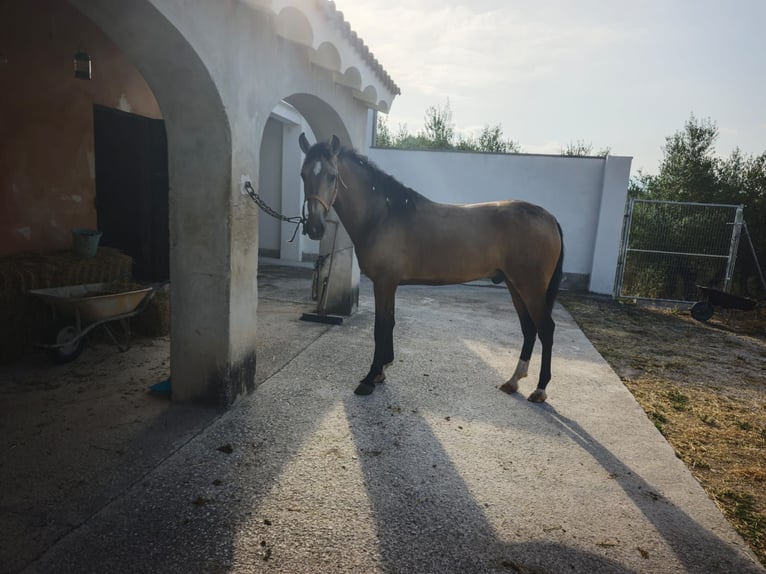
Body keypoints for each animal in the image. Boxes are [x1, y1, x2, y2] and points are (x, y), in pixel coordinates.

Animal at [298, 133, 564, 403]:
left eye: (332, 176)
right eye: (303, 174)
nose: (315, 227)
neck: (383, 216)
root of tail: (549, 217)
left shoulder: (384, 282)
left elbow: (380, 327)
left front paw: (369, 378)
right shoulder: (390, 283)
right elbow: (390, 322)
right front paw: (382, 370)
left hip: (530, 288)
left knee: (546, 330)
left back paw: (540, 389)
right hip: (514, 285)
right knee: (529, 329)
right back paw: (513, 381)